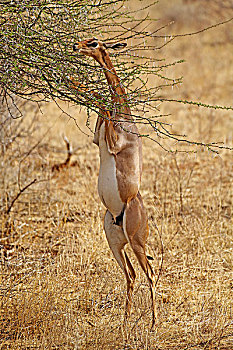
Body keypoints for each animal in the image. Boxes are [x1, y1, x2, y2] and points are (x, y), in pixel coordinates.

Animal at [73, 39, 157, 328]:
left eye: (94, 42)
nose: (76, 46)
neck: (125, 118)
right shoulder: (97, 139)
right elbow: (101, 103)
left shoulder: (112, 143)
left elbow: (101, 101)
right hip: (114, 242)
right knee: (131, 274)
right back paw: (124, 322)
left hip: (137, 242)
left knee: (151, 273)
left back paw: (153, 324)